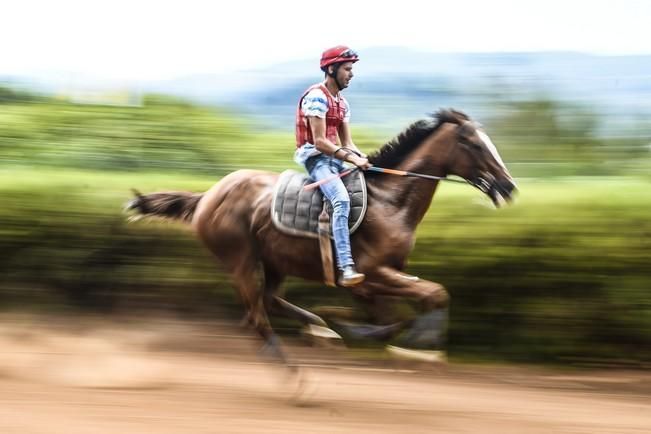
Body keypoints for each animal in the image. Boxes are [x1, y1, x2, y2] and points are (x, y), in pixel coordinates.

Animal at [125, 109, 516, 366]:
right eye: (475, 145)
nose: (508, 186)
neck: (390, 201)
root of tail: (207, 196)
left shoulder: (378, 281)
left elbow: (395, 317)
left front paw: (353, 327)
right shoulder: (370, 275)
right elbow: (434, 294)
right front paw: (420, 346)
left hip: (275, 262)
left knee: (270, 301)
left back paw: (320, 330)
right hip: (241, 260)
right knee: (256, 314)